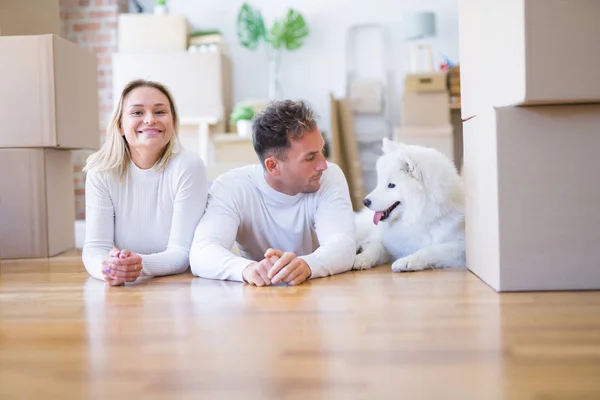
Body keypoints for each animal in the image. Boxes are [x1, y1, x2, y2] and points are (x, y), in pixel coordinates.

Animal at [354, 138, 466, 272]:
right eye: (379, 183)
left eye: (391, 185)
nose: (365, 201)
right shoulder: (389, 242)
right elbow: (376, 248)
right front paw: (362, 258)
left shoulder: (460, 247)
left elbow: (431, 249)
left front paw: (407, 261)